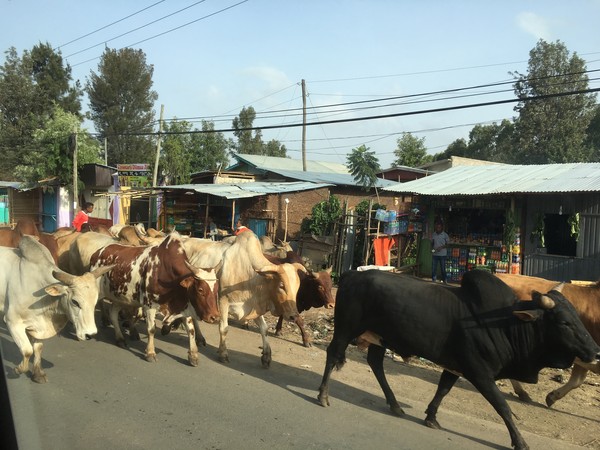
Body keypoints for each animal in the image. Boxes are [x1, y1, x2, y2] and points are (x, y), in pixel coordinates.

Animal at [0, 236, 112, 384]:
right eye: (75, 302)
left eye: (95, 303)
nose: (90, 334)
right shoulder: (12, 321)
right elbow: (27, 350)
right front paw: (18, 369)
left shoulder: (38, 326)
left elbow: (38, 348)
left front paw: (38, 374)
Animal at [89, 232, 220, 366]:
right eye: (200, 290)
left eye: (216, 289)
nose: (214, 317)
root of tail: (97, 253)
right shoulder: (150, 306)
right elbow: (151, 329)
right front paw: (150, 353)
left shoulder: (183, 306)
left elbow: (191, 330)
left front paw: (193, 355)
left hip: (120, 297)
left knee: (114, 313)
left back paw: (120, 339)